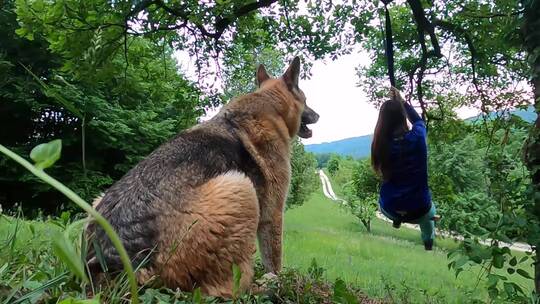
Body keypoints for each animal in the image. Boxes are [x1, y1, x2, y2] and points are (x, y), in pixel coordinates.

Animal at [85, 56, 318, 296]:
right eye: (306, 100)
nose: (318, 115)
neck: (270, 103)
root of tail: (113, 262)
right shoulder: (273, 213)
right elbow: (274, 258)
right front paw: (278, 279)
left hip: (95, 202)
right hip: (240, 188)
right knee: (226, 289)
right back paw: (259, 286)